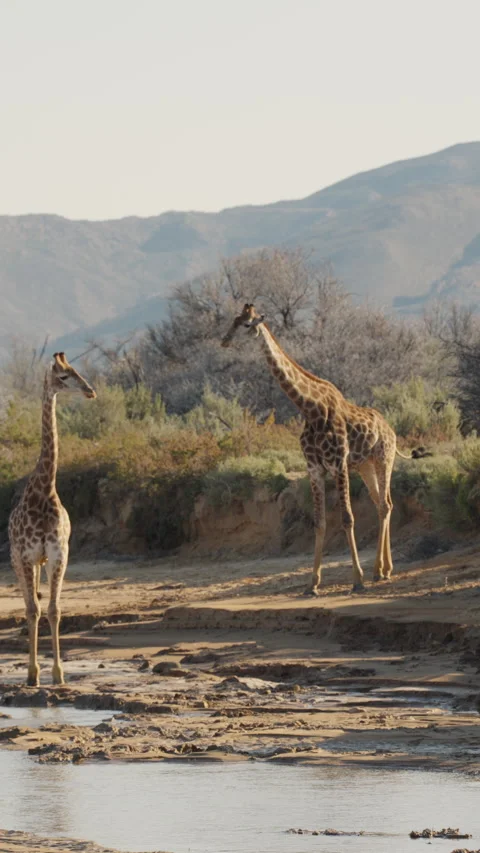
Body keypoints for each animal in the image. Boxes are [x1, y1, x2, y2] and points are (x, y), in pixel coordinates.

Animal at [8, 352, 96, 686]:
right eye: (63, 377)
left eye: (76, 371)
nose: (90, 391)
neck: (44, 490)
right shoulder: (25, 555)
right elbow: (33, 609)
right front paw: (33, 674)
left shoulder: (59, 554)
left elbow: (55, 609)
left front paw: (58, 674)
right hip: (20, 561)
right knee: (28, 605)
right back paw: (31, 672)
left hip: (42, 562)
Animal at [222, 303, 420, 595]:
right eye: (233, 321)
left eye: (247, 324)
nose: (224, 341)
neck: (311, 409)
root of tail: (392, 430)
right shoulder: (315, 468)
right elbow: (320, 521)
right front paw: (312, 584)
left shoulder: (338, 463)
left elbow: (347, 518)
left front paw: (357, 580)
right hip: (364, 465)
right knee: (381, 504)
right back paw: (383, 570)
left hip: (383, 459)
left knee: (385, 504)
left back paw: (377, 571)